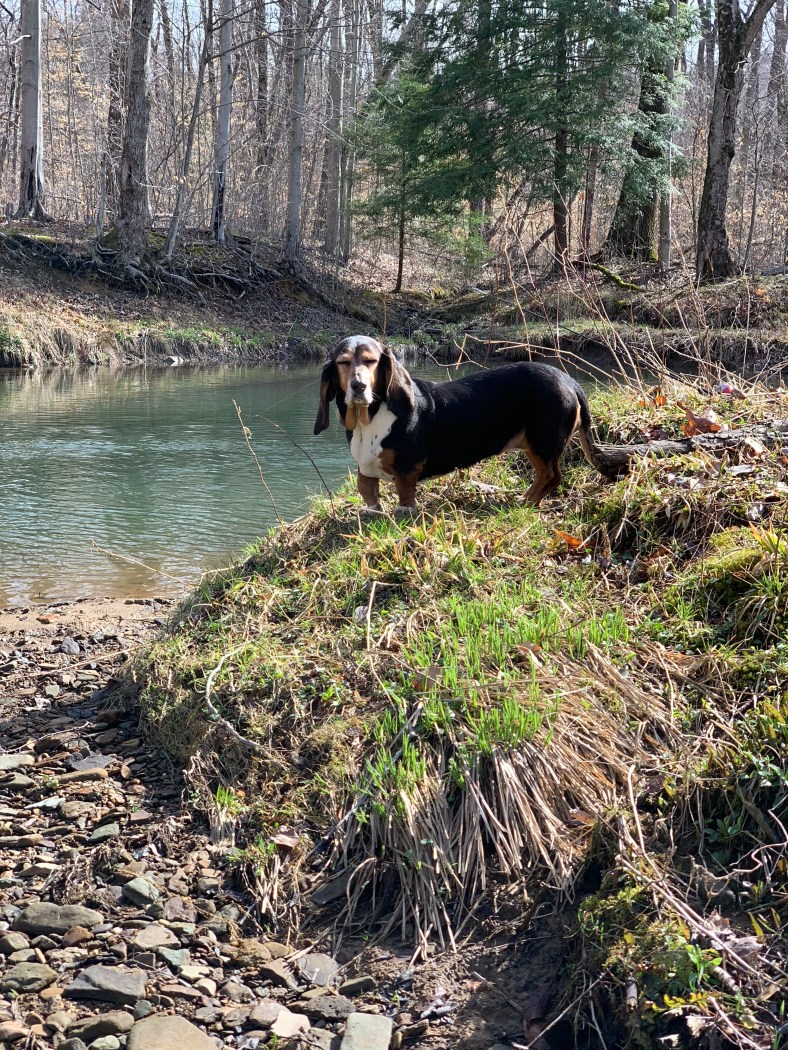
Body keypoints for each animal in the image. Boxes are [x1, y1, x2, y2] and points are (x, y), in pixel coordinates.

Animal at [314, 336, 628, 511]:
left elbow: (405, 495)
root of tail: (570, 381)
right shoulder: (365, 471)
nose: (358, 387)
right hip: (534, 445)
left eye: (371, 361)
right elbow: (368, 493)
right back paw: (528, 499)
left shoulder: (408, 467)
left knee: (552, 476)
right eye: (343, 362)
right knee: (545, 476)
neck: (371, 418)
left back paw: (525, 502)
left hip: (543, 441)